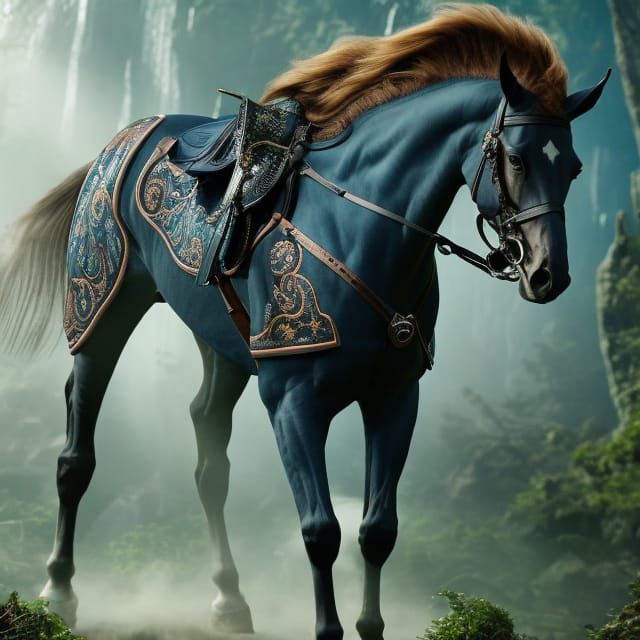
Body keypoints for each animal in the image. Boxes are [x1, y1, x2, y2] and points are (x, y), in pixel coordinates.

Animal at [0, 5, 609, 640]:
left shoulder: (395, 398)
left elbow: (377, 530)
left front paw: (370, 626)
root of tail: (125, 139)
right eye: (515, 158)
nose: (547, 274)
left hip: (223, 345)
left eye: (573, 167)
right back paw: (58, 591)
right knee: (76, 456)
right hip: (103, 313)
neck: (359, 227)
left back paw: (229, 600)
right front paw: (328, 627)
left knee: (209, 459)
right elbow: (321, 531)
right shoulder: (293, 400)